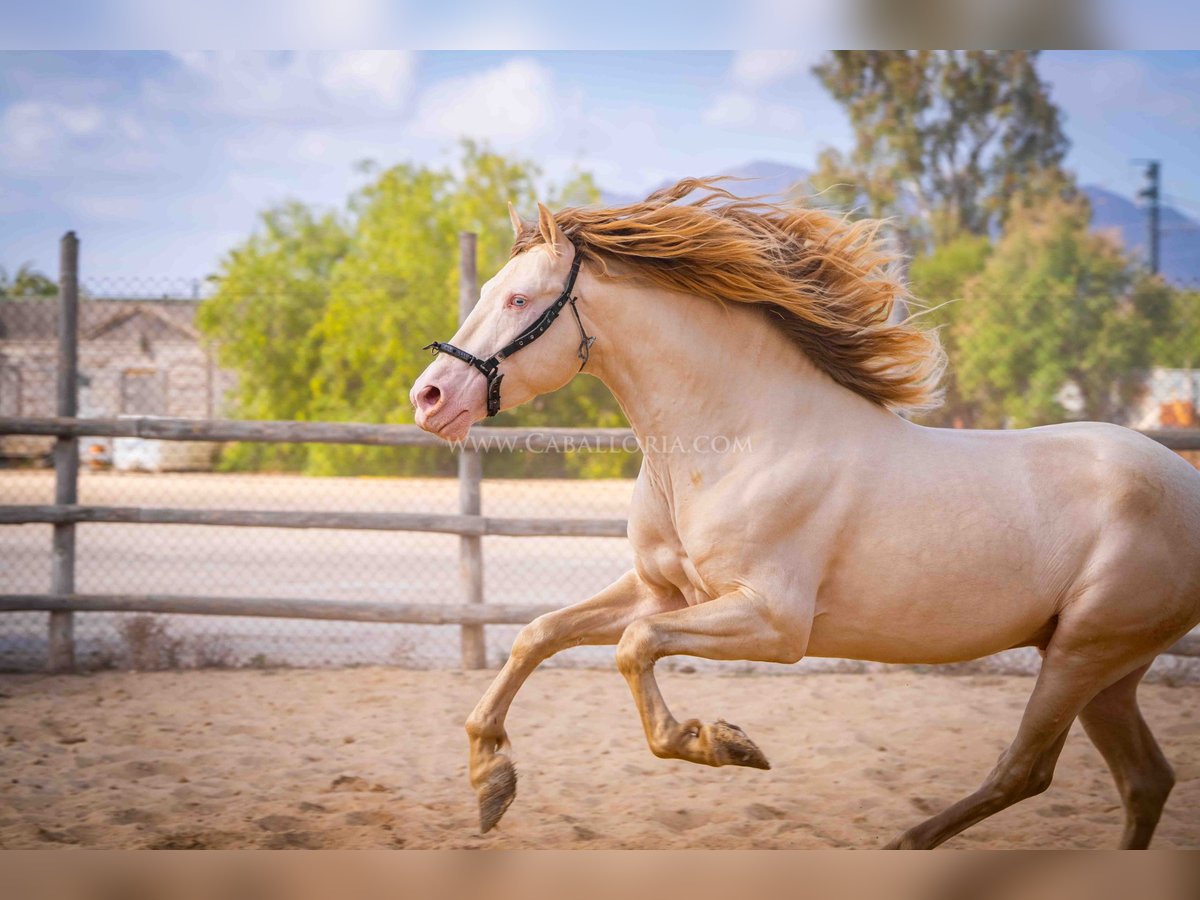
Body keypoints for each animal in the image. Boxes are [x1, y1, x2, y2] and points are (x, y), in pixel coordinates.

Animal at [405, 180, 1200, 849]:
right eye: (490, 290)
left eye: (519, 300)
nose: (430, 398)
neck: (740, 440)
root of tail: (1185, 481)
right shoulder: (664, 590)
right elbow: (538, 635)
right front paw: (491, 782)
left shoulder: (773, 622)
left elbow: (634, 648)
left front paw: (723, 743)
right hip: (1104, 670)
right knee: (1143, 780)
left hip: (1084, 653)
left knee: (1026, 770)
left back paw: (904, 845)